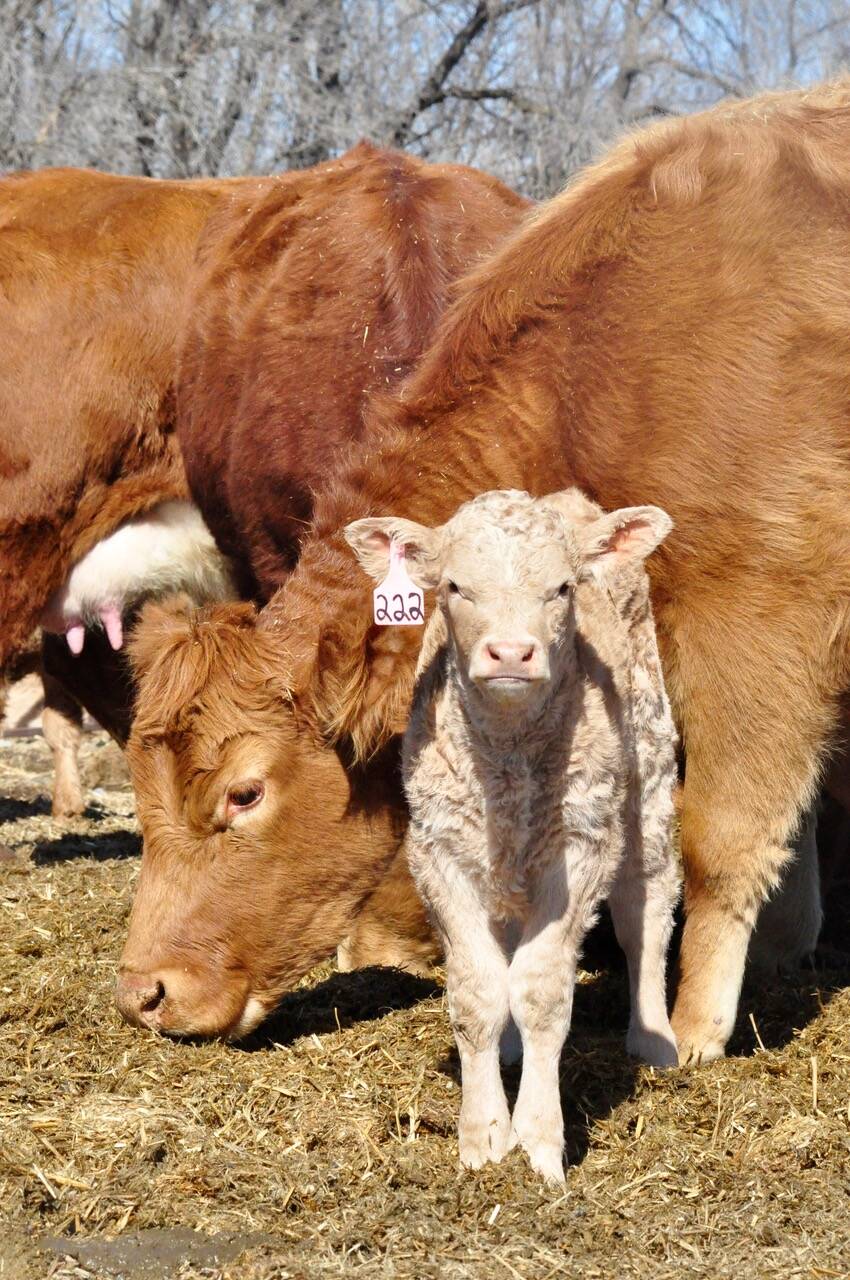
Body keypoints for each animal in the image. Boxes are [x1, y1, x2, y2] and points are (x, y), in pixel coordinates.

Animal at [345, 488, 680, 1181]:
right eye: (454, 586)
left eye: (562, 588)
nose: (509, 654)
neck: (510, 757)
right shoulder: (436, 848)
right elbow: (478, 990)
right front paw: (483, 1138)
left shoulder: (582, 844)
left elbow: (541, 989)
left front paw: (540, 1142)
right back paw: (505, 1053)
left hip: (649, 763)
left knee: (647, 907)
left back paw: (653, 1038)